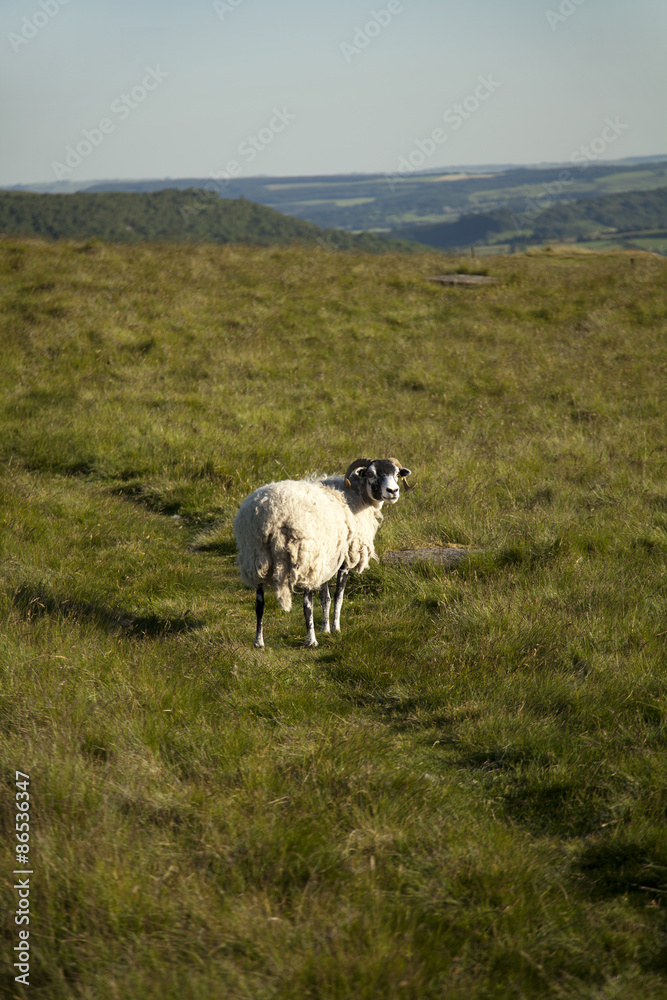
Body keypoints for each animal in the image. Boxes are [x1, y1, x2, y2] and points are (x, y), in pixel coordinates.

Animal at [234, 457, 412, 648]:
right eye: (371, 474)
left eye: (396, 474)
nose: (393, 491)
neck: (355, 494)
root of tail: (271, 515)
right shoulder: (345, 559)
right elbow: (338, 596)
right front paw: (335, 628)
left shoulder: (328, 558)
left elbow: (325, 598)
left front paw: (325, 629)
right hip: (305, 559)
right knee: (307, 603)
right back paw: (311, 641)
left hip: (256, 557)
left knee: (259, 603)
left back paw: (259, 642)